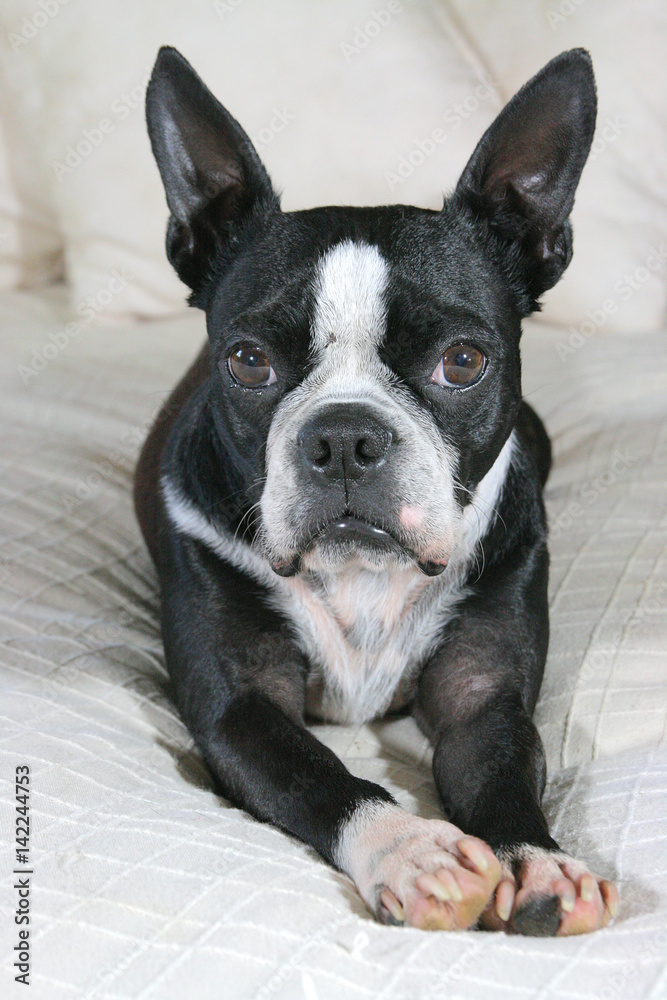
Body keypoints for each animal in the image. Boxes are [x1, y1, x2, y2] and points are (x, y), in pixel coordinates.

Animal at [136, 45, 620, 936]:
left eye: (462, 361)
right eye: (247, 362)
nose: (343, 439)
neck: (362, 576)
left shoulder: (481, 696)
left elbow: (503, 771)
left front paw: (538, 860)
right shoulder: (239, 708)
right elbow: (321, 776)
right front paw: (411, 848)